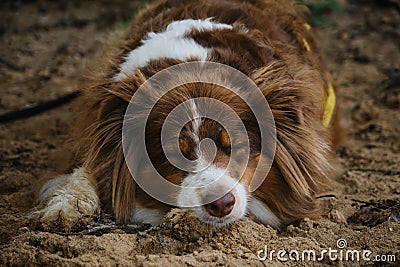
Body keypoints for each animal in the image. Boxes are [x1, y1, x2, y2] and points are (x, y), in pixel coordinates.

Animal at [32, 0, 338, 231]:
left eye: (238, 146)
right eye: (173, 154)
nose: (220, 205)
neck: (193, 68)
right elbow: (87, 167)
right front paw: (65, 206)